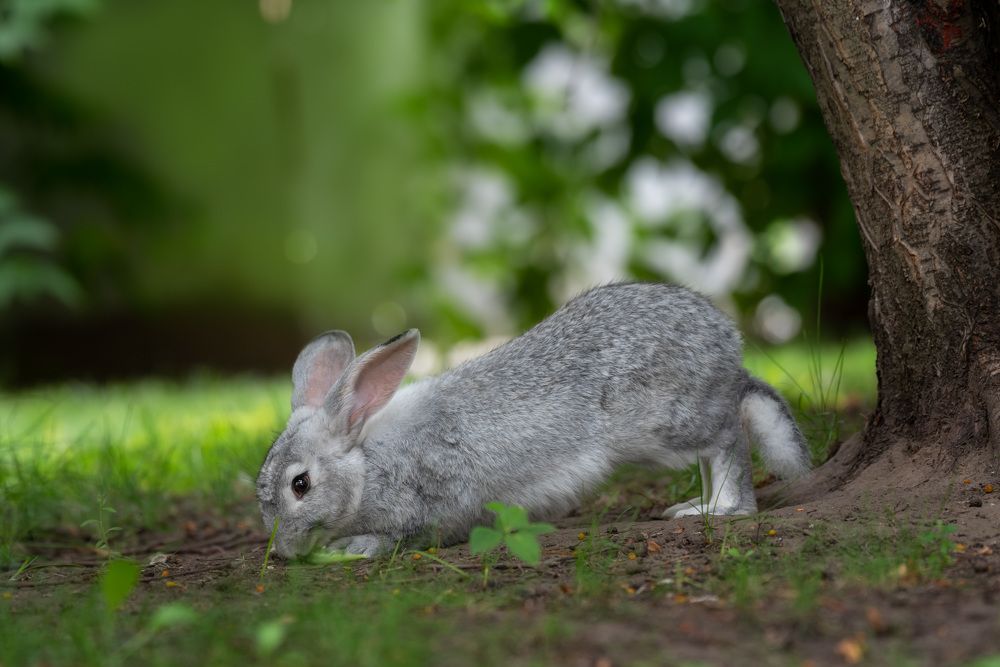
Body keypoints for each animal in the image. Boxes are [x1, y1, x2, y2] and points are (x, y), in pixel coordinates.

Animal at [256, 282, 811, 558]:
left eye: (301, 485)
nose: (282, 550)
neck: (366, 463)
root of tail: (727, 343)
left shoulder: (432, 504)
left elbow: (405, 538)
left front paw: (352, 547)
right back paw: (696, 505)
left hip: (666, 423)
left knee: (730, 436)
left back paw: (721, 509)